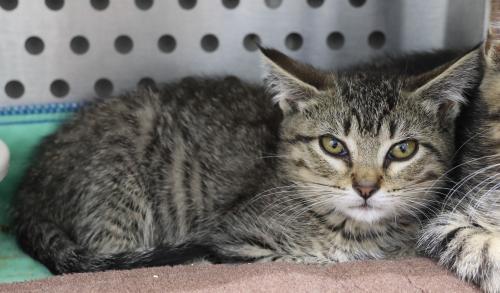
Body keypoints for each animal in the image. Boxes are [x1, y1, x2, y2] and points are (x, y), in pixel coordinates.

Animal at [12, 45, 480, 274]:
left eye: (402, 149)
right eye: (333, 146)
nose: (365, 188)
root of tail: (28, 188)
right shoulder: (237, 240)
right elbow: (297, 260)